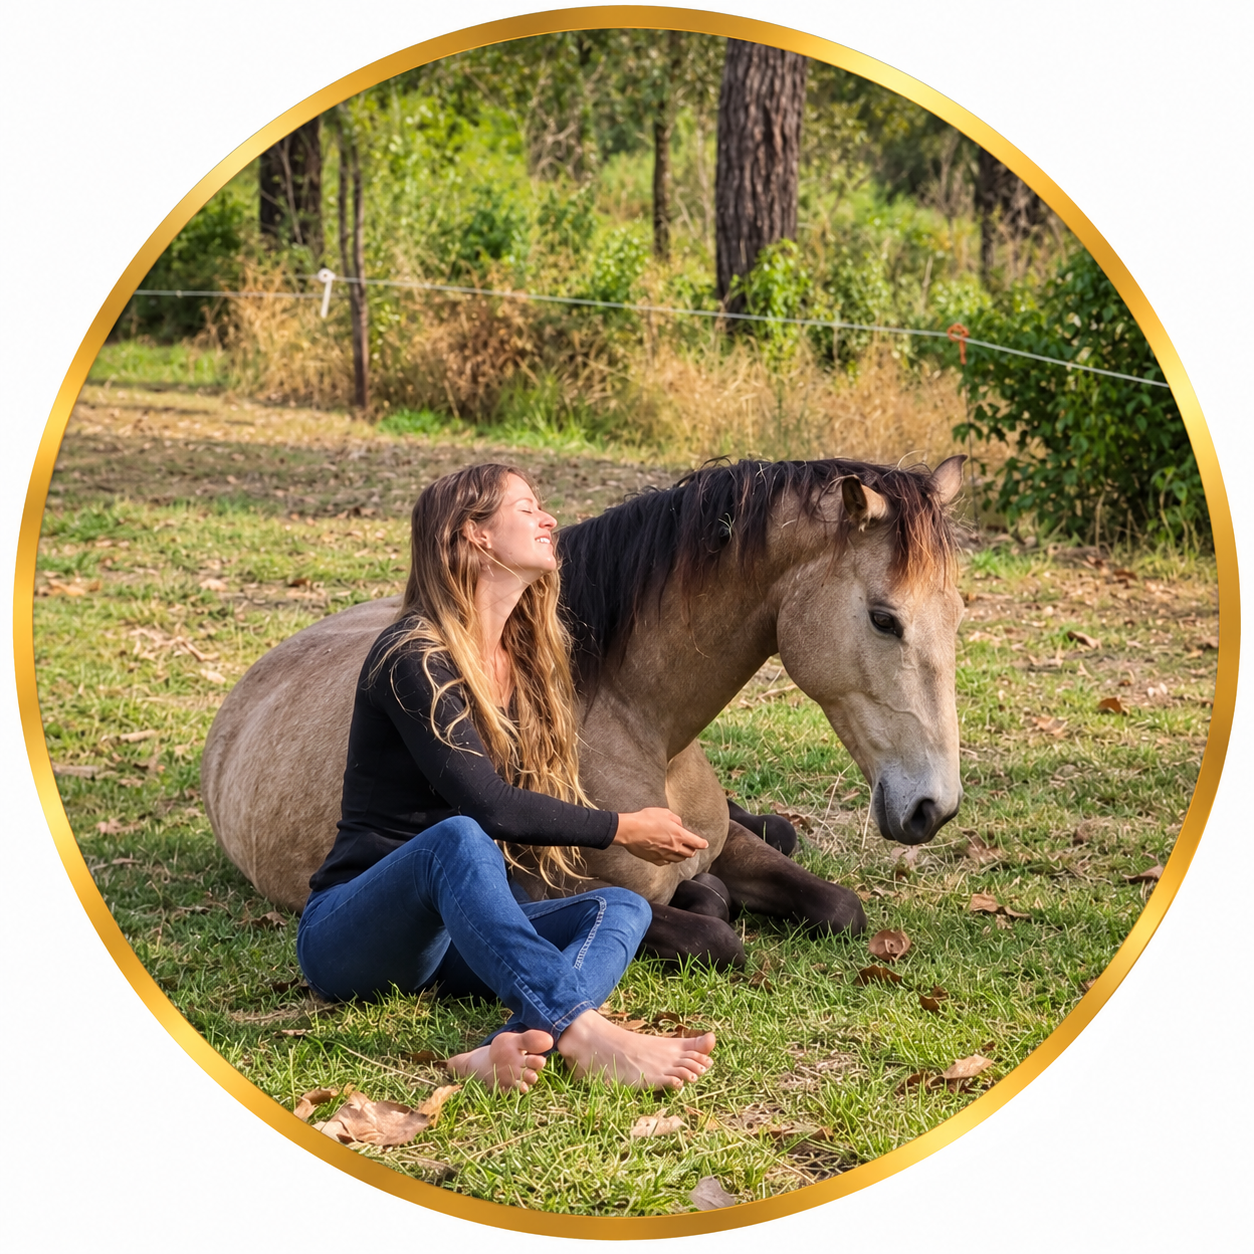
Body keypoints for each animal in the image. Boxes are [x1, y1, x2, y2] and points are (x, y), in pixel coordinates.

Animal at [201, 456, 966, 968]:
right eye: (883, 618)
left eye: (957, 614)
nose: (935, 808)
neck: (640, 726)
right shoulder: (538, 893)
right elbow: (714, 929)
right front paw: (707, 900)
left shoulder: (723, 842)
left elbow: (839, 906)